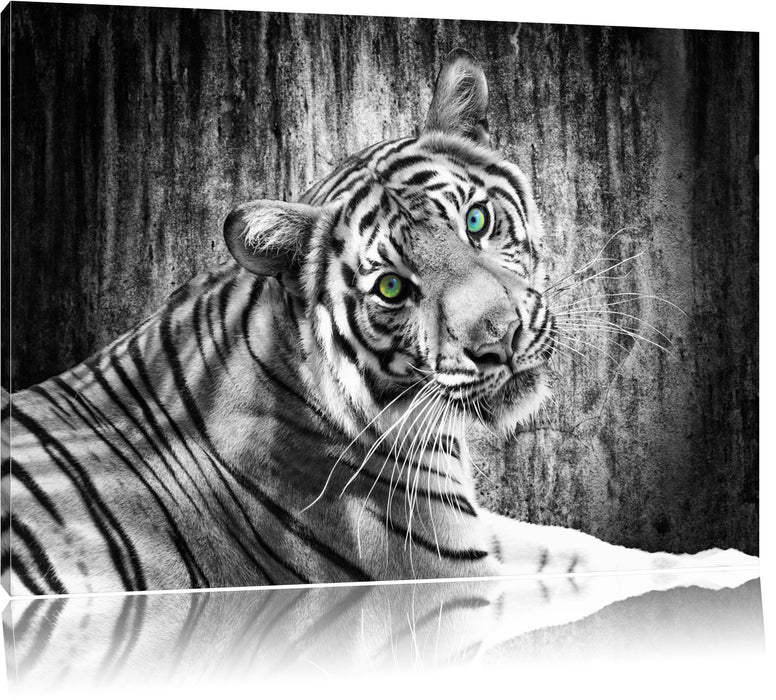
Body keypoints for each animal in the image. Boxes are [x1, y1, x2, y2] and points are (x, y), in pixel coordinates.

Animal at [0, 48, 757, 596]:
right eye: (393, 288)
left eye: (476, 221)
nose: (500, 338)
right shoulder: (443, 565)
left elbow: (581, 547)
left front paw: (724, 561)